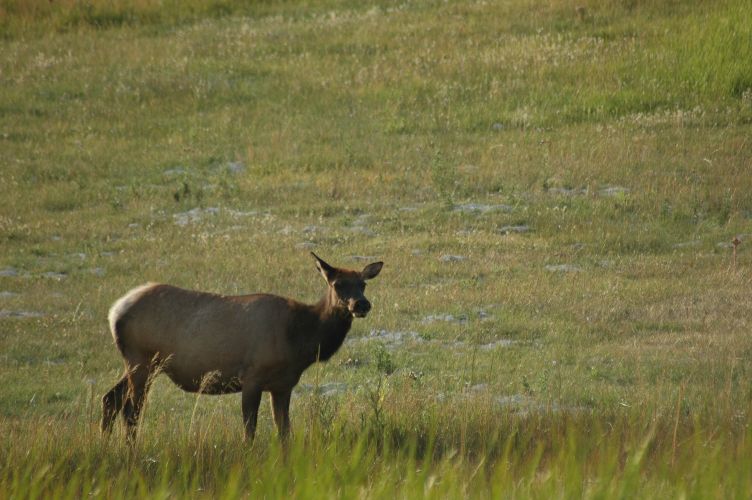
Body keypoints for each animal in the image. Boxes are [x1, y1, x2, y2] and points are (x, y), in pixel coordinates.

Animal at [101, 252, 383, 443]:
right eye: (337, 284)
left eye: (363, 284)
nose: (361, 304)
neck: (299, 340)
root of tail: (114, 312)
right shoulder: (252, 376)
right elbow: (250, 431)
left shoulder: (282, 385)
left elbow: (284, 432)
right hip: (142, 360)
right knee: (131, 410)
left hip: (142, 363)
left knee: (110, 399)